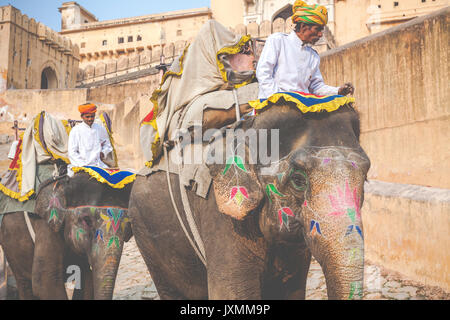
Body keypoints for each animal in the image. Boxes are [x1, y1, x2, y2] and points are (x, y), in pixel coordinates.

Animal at [0, 171, 133, 298]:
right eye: (87, 220)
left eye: (128, 228)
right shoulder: (46, 225)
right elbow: (45, 281)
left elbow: (86, 278)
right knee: (25, 285)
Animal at [128, 100, 370, 300]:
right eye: (298, 180)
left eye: (365, 176)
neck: (249, 127)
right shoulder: (221, 216)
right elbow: (229, 294)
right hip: (147, 235)